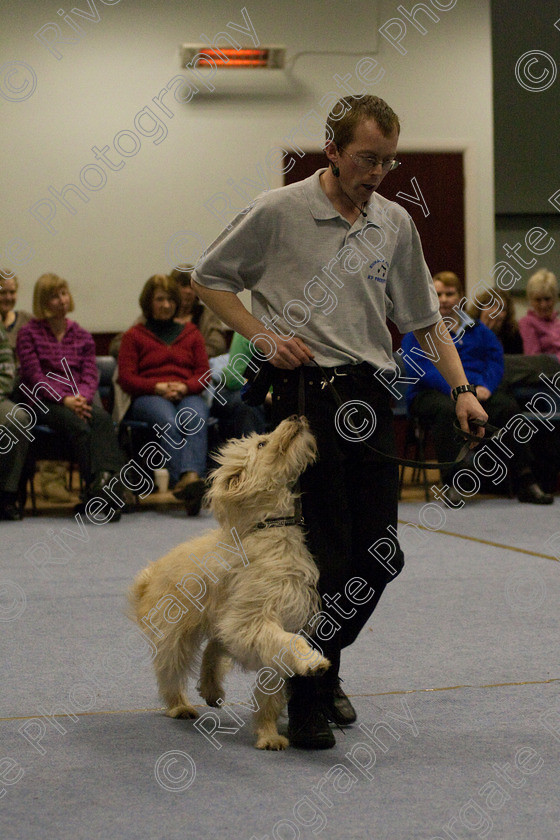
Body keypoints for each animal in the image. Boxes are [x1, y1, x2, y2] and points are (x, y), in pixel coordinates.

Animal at [129, 416, 330, 752]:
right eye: (262, 443)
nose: (296, 418)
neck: (269, 529)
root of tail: (151, 574)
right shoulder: (254, 622)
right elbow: (290, 643)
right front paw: (312, 661)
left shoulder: (265, 627)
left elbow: (270, 693)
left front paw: (268, 733)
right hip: (177, 633)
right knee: (170, 670)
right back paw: (178, 705)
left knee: (214, 646)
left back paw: (211, 688)